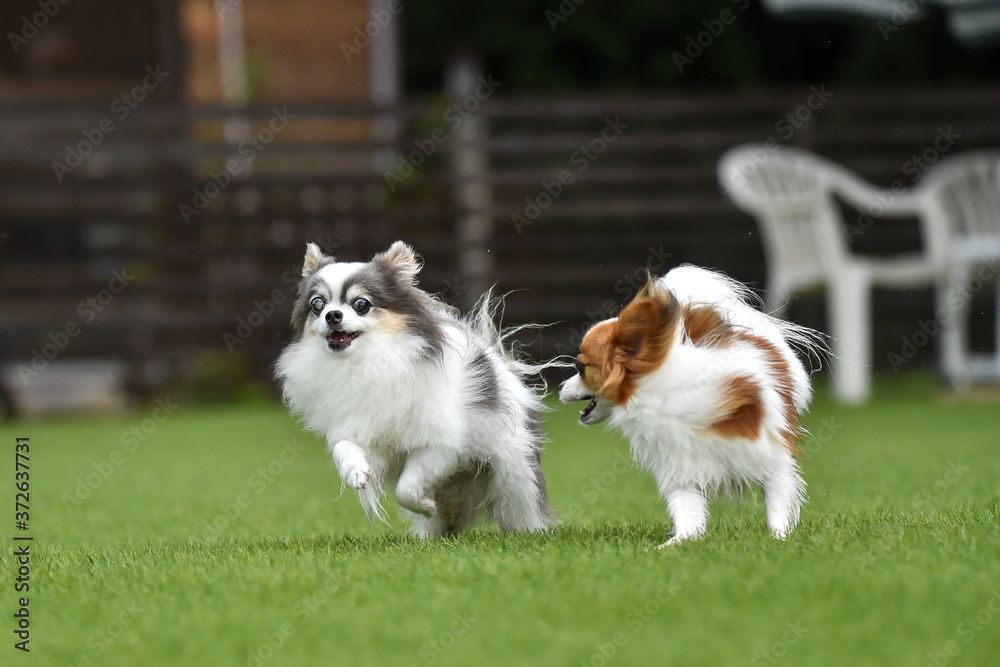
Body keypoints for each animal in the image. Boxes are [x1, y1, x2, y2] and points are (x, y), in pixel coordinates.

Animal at [276, 240, 556, 536]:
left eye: (361, 304)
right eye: (317, 305)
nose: (332, 315)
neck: (367, 361)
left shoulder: (440, 446)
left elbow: (406, 488)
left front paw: (423, 504)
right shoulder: (365, 431)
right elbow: (344, 447)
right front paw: (355, 472)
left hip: (514, 475)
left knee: (520, 508)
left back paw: (530, 533)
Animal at [560, 264, 824, 544]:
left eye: (580, 368)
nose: (559, 386)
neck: (660, 392)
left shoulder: (772, 459)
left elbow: (776, 505)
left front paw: (780, 539)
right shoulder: (681, 470)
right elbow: (687, 512)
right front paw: (680, 542)